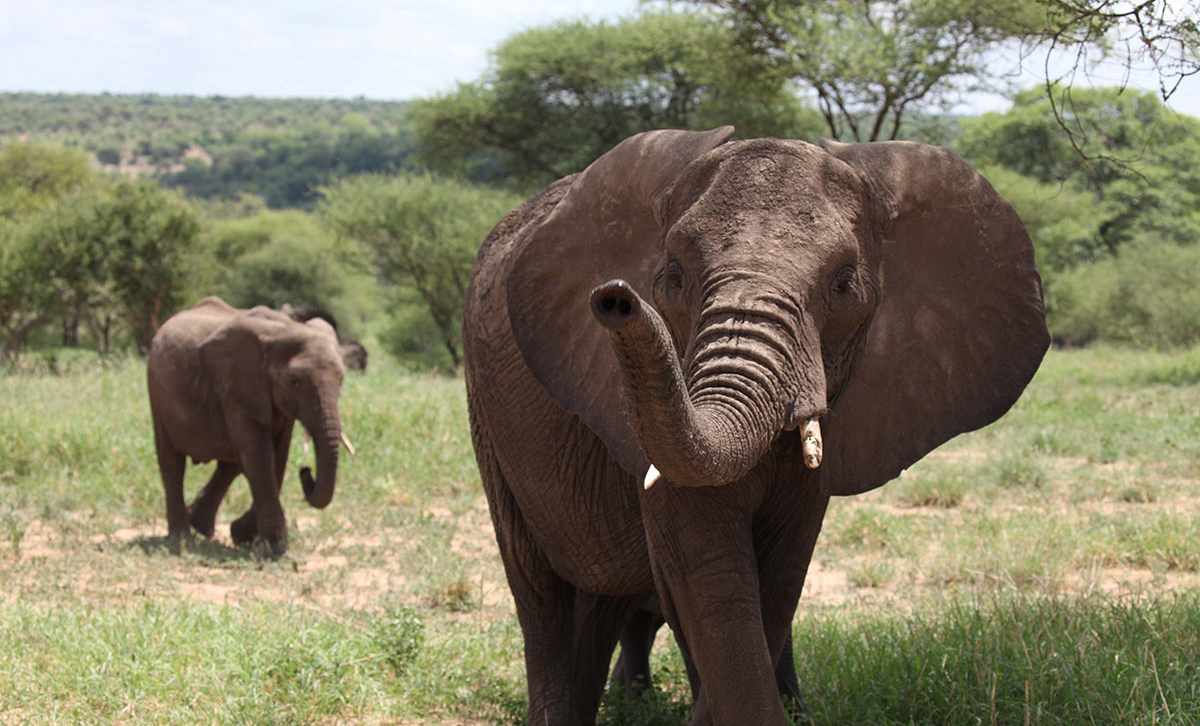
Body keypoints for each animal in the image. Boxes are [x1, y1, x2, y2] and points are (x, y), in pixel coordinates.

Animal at [147, 294, 350, 554]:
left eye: (341, 379)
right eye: (294, 381)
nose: (305, 471)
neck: (285, 329)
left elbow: (277, 457)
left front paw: (245, 537)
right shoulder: (238, 385)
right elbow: (260, 455)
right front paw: (272, 549)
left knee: (231, 463)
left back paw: (200, 526)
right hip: (157, 393)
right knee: (172, 462)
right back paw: (182, 540)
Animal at [463, 127, 1046, 720]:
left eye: (843, 285)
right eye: (674, 276)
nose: (615, 298)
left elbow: (782, 571)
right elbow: (708, 568)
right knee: (542, 595)